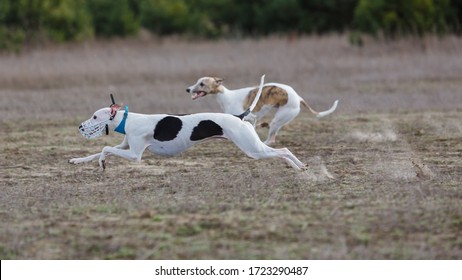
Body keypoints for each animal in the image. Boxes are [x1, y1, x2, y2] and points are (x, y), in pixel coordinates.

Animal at [68, 75, 304, 170]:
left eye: (95, 117)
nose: (80, 127)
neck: (128, 119)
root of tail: (240, 116)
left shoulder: (135, 155)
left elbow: (105, 148)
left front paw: (102, 162)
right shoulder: (124, 146)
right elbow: (97, 151)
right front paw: (78, 160)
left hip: (252, 149)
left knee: (282, 150)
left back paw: (297, 166)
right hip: (254, 146)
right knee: (283, 150)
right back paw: (299, 166)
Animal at [186, 77, 338, 145]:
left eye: (202, 84)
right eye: (197, 82)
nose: (187, 89)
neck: (226, 96)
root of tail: (298, 97)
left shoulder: (251, 116)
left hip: (279, 119)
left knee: (271, 139)